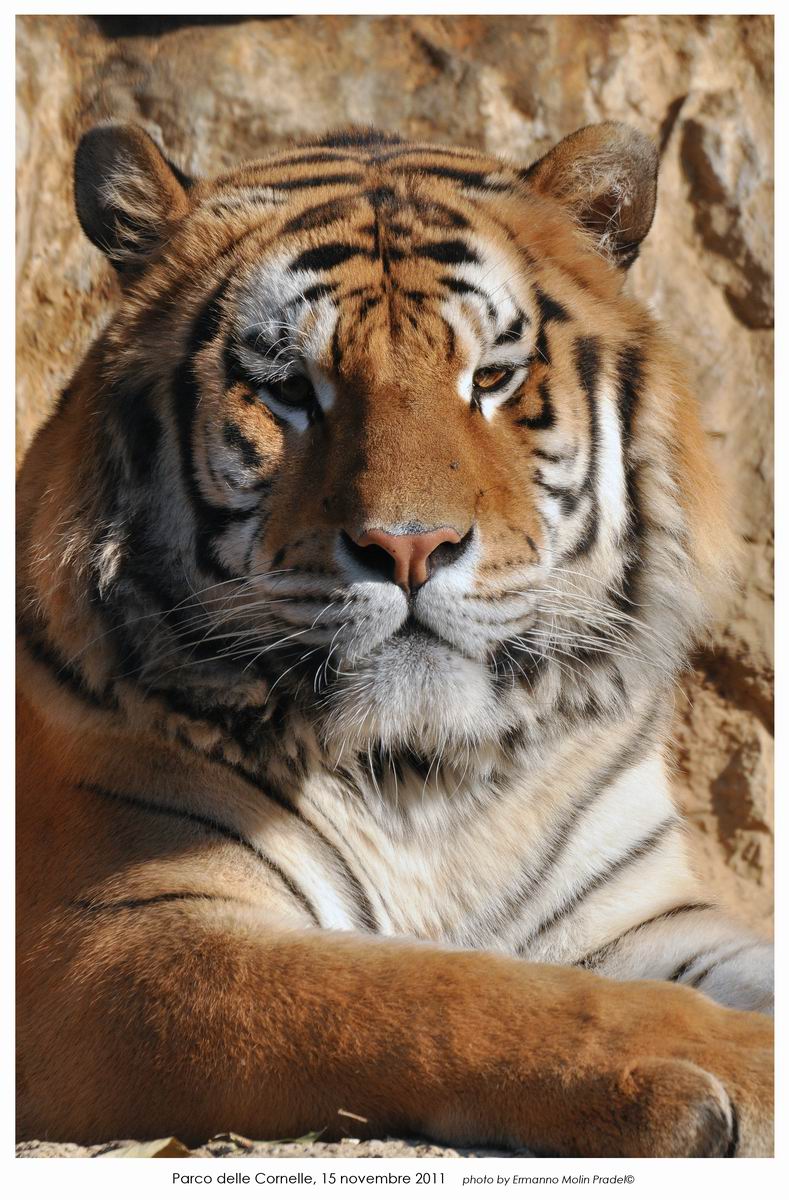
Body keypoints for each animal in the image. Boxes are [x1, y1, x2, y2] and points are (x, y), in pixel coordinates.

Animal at [17, 120, 773, 1157]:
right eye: (290, 390)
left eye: (490, 379)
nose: (410, 547)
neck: (433, 778)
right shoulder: (109, 943)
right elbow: (449, 994)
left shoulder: (641, 912)